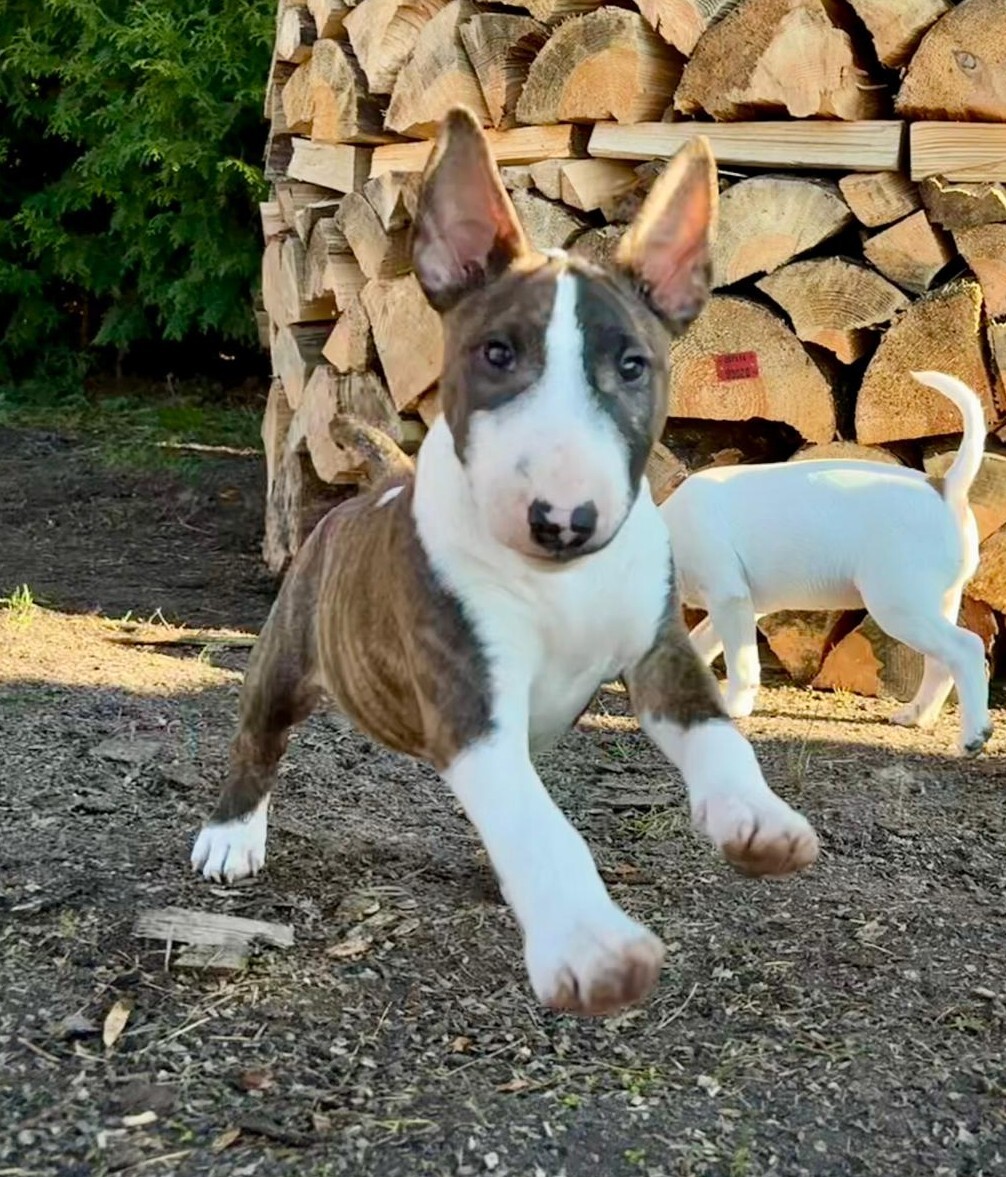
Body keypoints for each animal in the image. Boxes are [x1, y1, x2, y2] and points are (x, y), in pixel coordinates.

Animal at [191, 107, 819, 1017]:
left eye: (633, 365)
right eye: (495, 354)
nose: (563, 519)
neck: (559, 584)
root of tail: (378, 480)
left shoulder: (661, 653)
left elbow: (716, 735)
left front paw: (760, 819)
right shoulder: (470, 696)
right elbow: (537, 822)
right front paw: (590, 943)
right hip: (287, 655)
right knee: (257, 739)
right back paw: (229, 836)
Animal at [660, 371, 992, 756]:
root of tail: (944, 486)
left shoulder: (729, 600)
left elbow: (741, 663)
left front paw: (734, 706)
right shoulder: (736, 608)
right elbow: (701, 643)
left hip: (900, 608)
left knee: (966, 649)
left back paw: (973, 736)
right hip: (933, 606)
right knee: (941, 663)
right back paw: (917, 715)